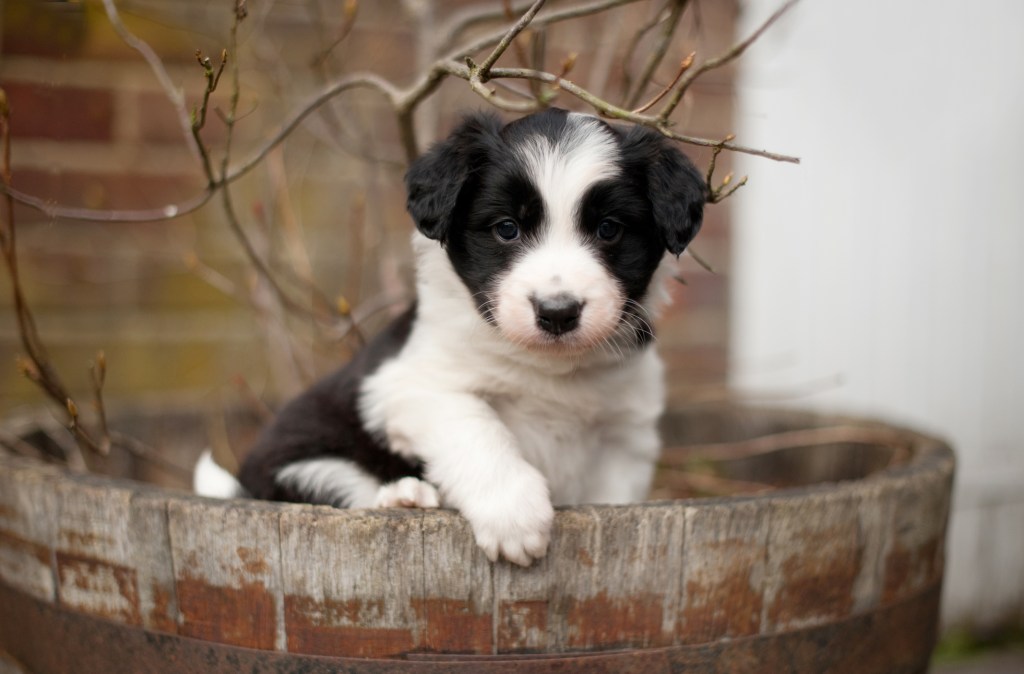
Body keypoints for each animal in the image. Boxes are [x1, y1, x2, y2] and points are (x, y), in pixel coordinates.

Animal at [193, 107, 704, 565]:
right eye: (506, 229)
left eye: (608, 229)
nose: (557, 313)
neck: (549, 367)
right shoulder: (412, 386)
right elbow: (477, 429)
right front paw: (514, 516)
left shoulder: (623, 435)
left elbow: (613, 493)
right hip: (305, 466)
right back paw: (404, 496)